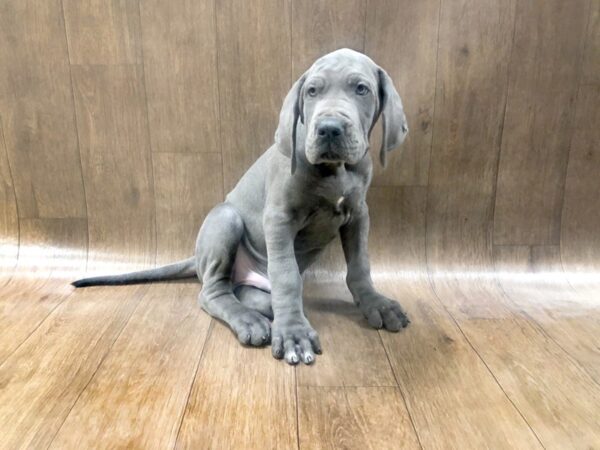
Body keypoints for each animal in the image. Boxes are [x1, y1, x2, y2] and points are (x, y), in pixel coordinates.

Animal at [70, 49, 408, 366]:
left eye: (362, 89)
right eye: (312, 91)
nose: (328, 128)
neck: (335, 170)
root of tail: (196, 259)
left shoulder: (358, 215)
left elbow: (360, 265)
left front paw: (376, 304)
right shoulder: (279, 218)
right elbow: (287, 275)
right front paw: (294, 334)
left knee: (246, 291)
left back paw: (264, 311)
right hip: (226, 219)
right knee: (213, 292)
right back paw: (252, 321)